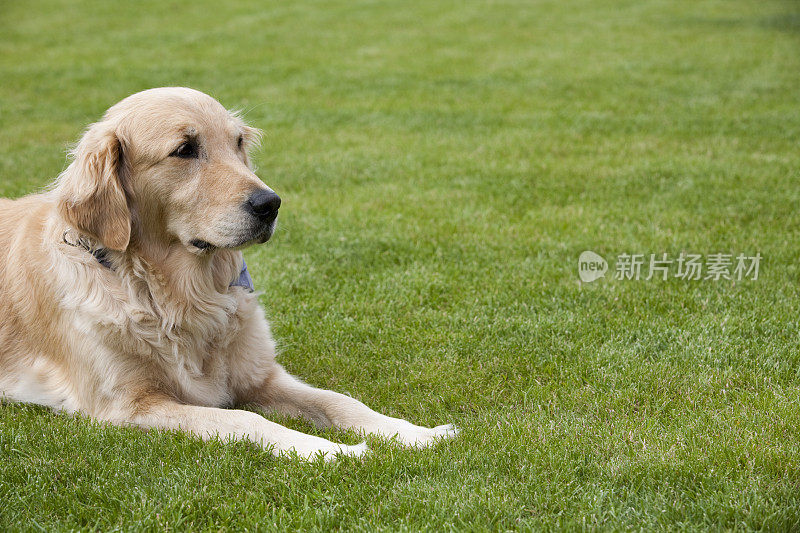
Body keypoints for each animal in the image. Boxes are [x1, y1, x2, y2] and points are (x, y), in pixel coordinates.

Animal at [0, 86, 460, 458]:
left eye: (237, 142)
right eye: (185, 149)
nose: (270, 204)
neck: (176, 295)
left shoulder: (259, 376)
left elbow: (340, 400)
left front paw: (414, 433)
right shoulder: (127, 405)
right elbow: (244, 419)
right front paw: (327, 450)